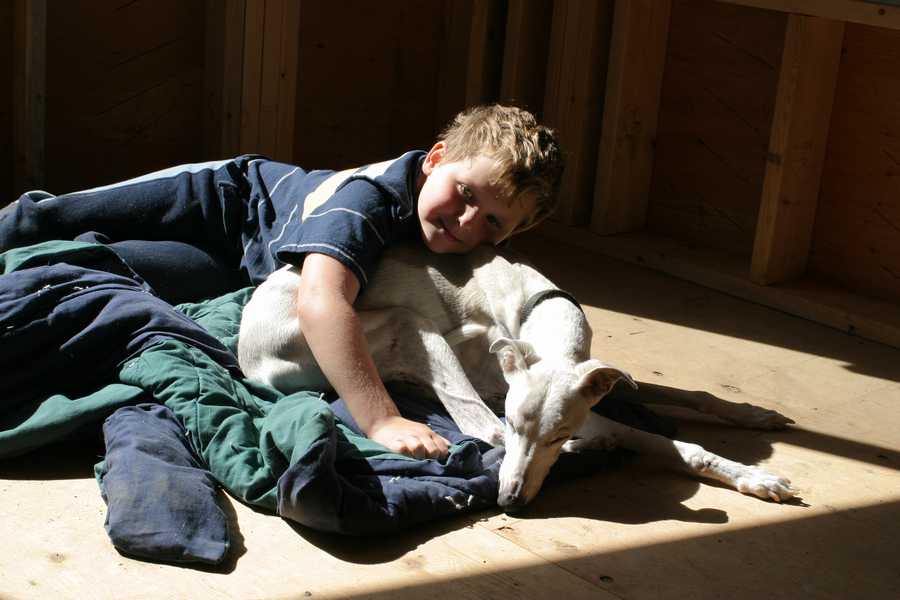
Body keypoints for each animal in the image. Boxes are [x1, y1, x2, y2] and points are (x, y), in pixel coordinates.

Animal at [238, 243, 797, 510]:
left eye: (555, 434)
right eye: (521, 425)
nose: (510, 503)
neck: (537, 305)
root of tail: (248, 356)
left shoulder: (597, 382)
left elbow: (691, 393)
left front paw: (753, 414)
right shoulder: (535, 403)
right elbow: (672, 444)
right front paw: (756, 478)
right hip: (408, 326)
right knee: (476, 427)